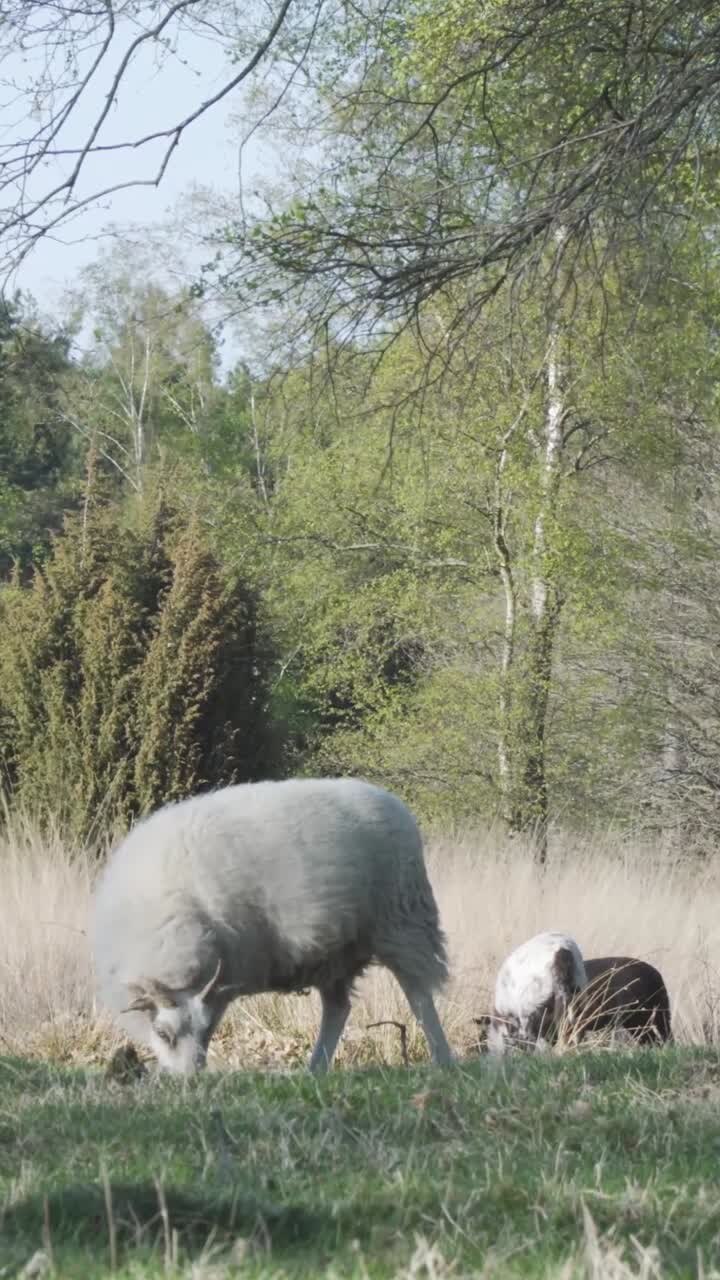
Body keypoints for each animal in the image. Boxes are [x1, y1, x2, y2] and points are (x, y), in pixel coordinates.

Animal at [92, 777, 454, 1075]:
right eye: (163, 1034)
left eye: (205, 1030)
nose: (188, 1080)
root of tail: (392, 801)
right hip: (337, 954)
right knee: (338, 1009)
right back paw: (315, 1070)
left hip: (403, 922)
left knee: (419, 995)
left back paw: (443, 1059)